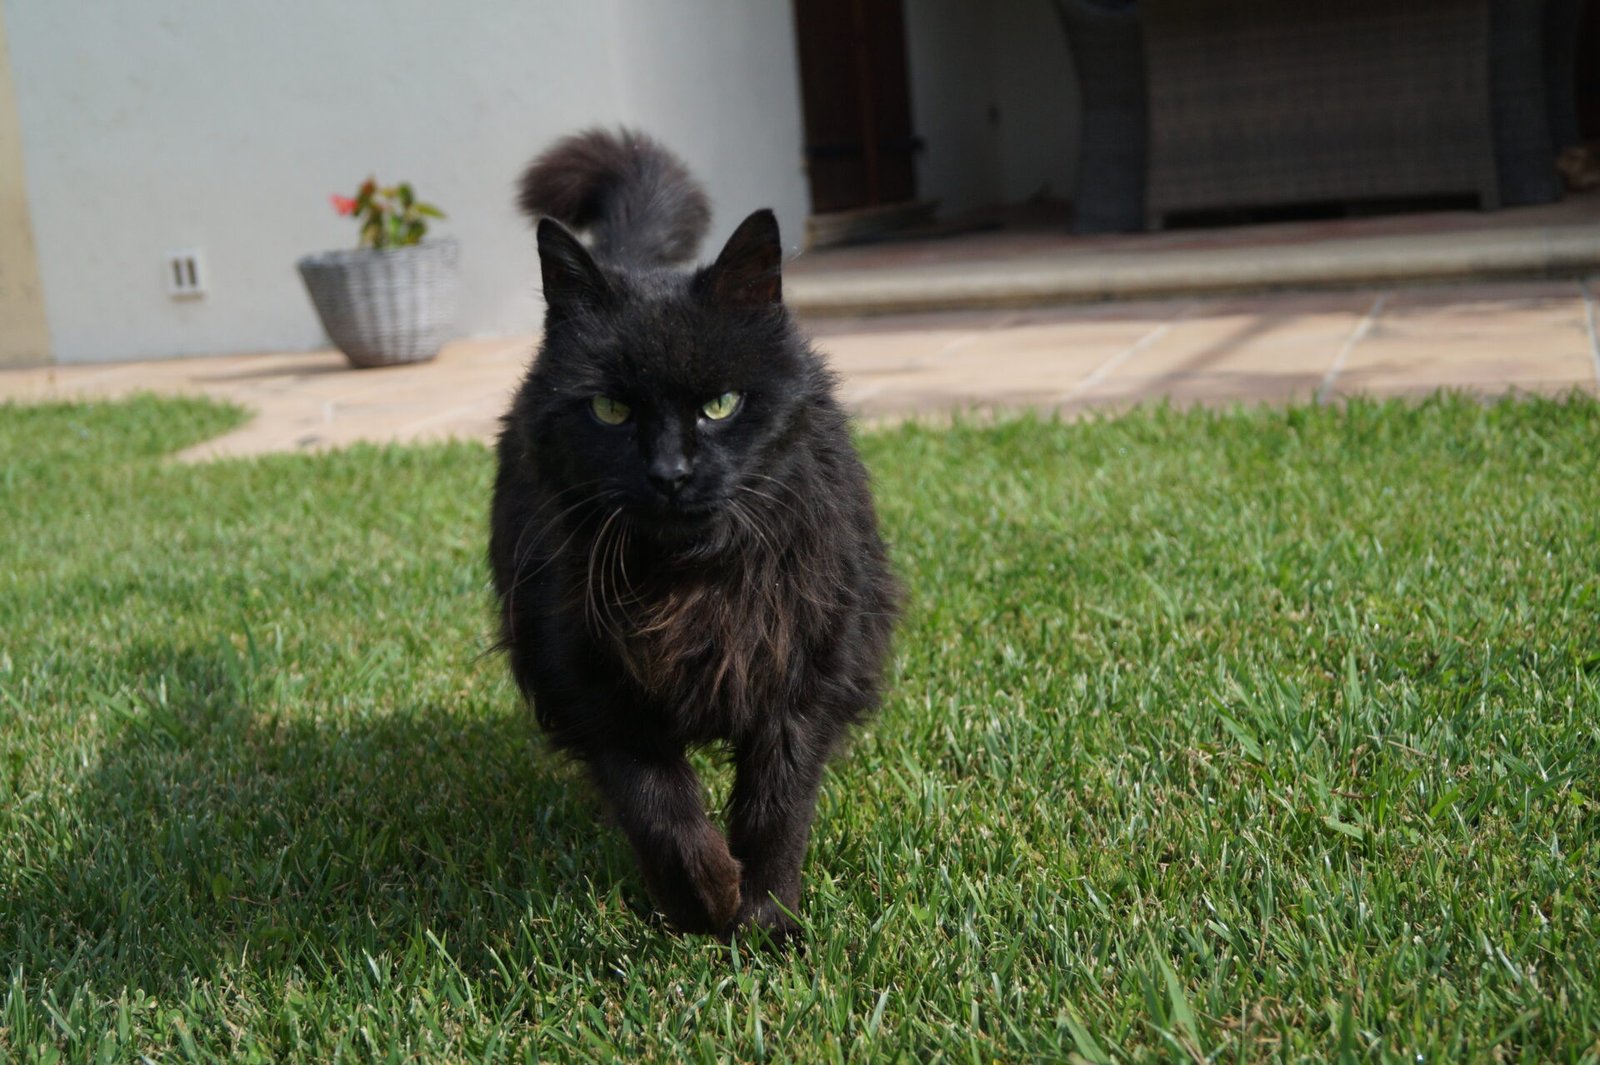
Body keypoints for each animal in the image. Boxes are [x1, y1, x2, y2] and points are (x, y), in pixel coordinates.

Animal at [486, 126, 902, 940]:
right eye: (611, 410)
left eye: (721, 404)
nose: (670, 472)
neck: (691, 582)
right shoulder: (589, 680)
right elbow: (657, 803)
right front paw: (701, 899)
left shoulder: (805, 670)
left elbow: (777, 806)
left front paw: (766, 917)